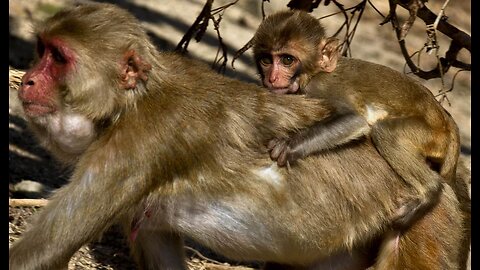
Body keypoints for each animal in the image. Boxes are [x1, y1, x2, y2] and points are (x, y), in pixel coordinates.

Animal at [253, 10, 460, 229]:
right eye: (266, 60)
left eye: (287, 60)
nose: (272, 78)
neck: (315, 72)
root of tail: (445, 119)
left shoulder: (320, 87)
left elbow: (354, 120)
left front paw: (289, 145)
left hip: (430, 135)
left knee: (385, 132)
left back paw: (430, 190)